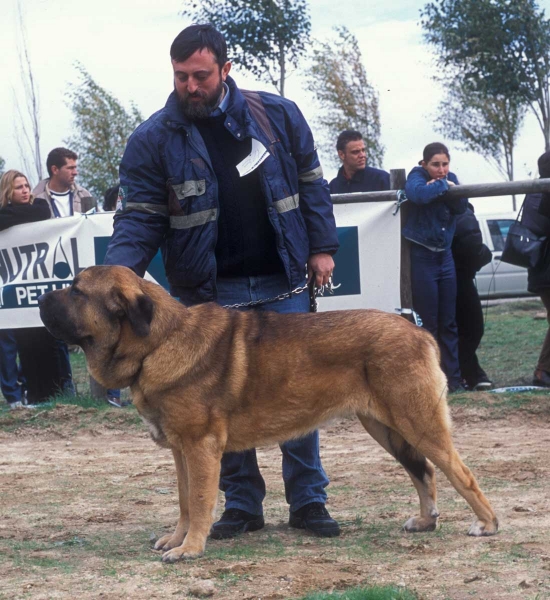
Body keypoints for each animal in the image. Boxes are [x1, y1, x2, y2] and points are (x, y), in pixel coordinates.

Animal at [36, 264, 498, 560]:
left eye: (76, 291)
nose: (40, 298)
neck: (158, 341)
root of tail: (418, 331)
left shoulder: (200, 447)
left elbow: (199, 500)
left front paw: (190, 549)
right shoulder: (181, 451)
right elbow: (185, 501)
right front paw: (176, 540)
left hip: (417, 423)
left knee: (461, 473)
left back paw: (487, 526)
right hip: (387, 428)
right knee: (425, 471)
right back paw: (425, 521)